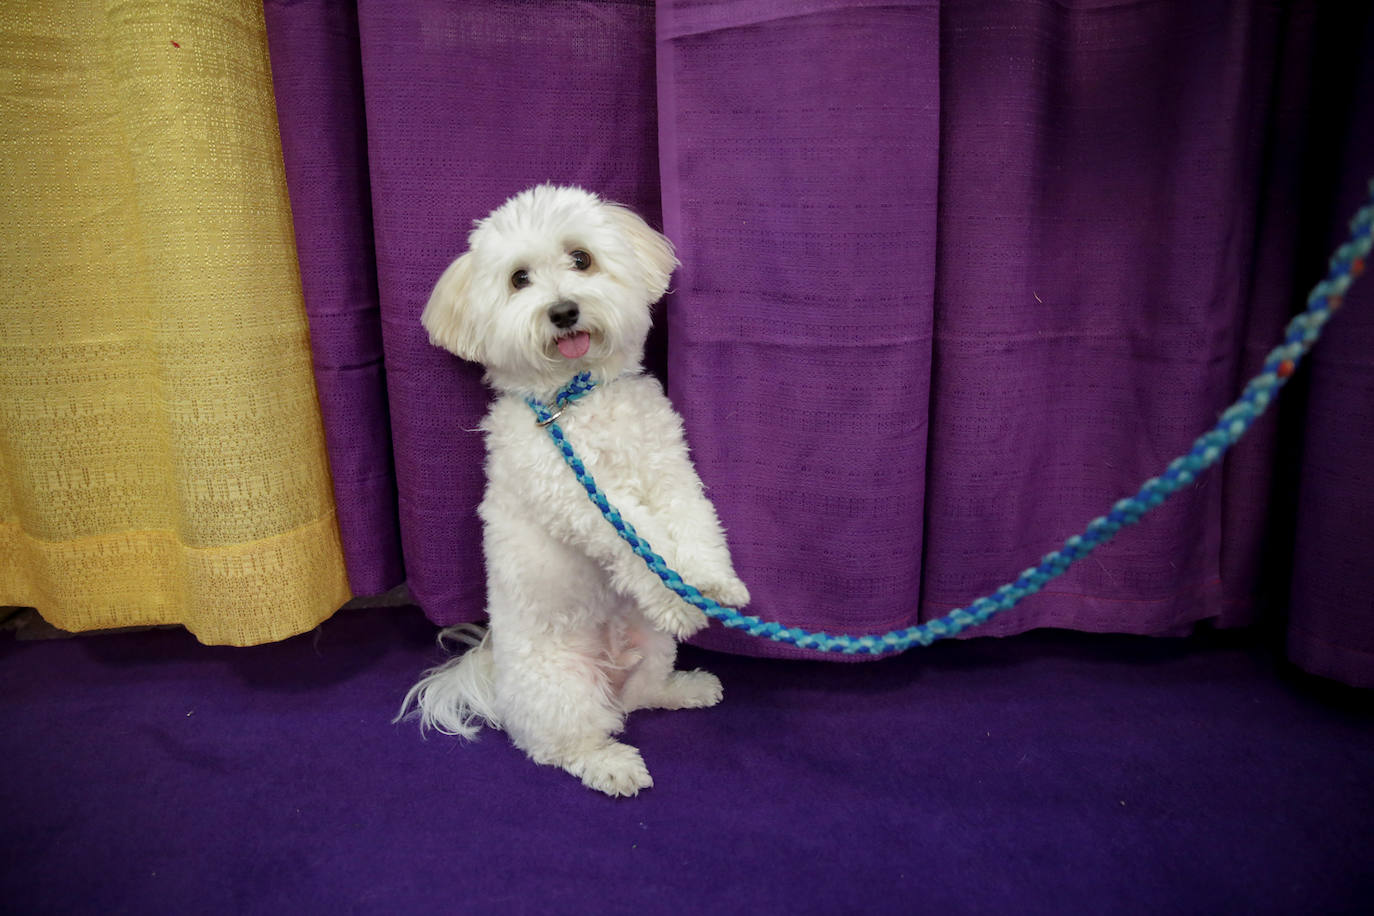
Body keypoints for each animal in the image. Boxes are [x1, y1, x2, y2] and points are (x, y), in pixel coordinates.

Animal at [398, 184, 752, 796]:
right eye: (519, 279)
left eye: (581, 259)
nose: (563, 311)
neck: (576, 399)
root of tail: (494, 677)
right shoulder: (576, 497)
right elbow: (641, 542)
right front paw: (678, 599)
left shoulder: (668, 464)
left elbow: (691, 520)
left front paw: (711, 582)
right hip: (559, 685)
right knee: (562, 744)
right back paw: (612, 765)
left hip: (650, 647)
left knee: (639, 698)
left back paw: (685, 688)